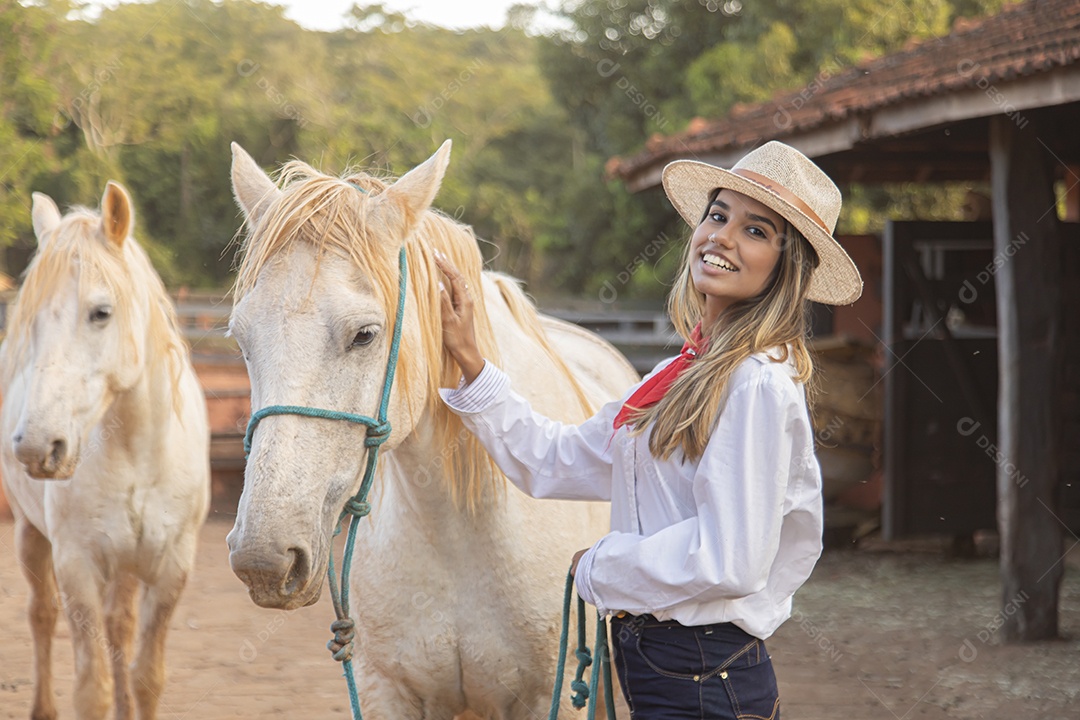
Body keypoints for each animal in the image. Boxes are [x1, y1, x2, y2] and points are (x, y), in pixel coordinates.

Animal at [0, 182, 210, 720]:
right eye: (31, 321)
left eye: (101, 312)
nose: (36, 447)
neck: (137, 456)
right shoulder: (78, 566)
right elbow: (90, 689)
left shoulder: (170, 568)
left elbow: (146, 676)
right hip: (31, 535)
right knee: (41, 614)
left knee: (120, 627)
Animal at [226, 140, 639, 719]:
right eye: (241, 338)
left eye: (365, 334)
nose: (264, 559)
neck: (456, 529)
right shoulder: (385, 692)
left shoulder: (551, 699)